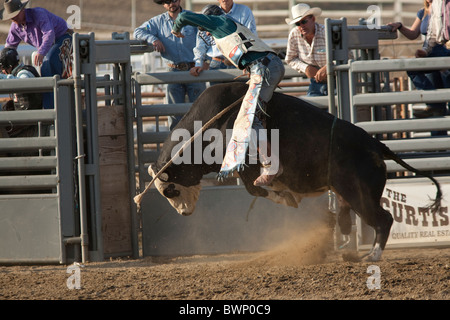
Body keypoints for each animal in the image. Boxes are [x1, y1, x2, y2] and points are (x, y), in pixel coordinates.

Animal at [138, 81, 442, 262]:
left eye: (170, 190)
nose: (182, 213)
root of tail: (376, 145)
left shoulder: (246, 167)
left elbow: (255, 188)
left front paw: (286, 196)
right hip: (352, 195)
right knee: (356, 219)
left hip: (360, 194)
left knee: (384, 219)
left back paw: (372, 256)